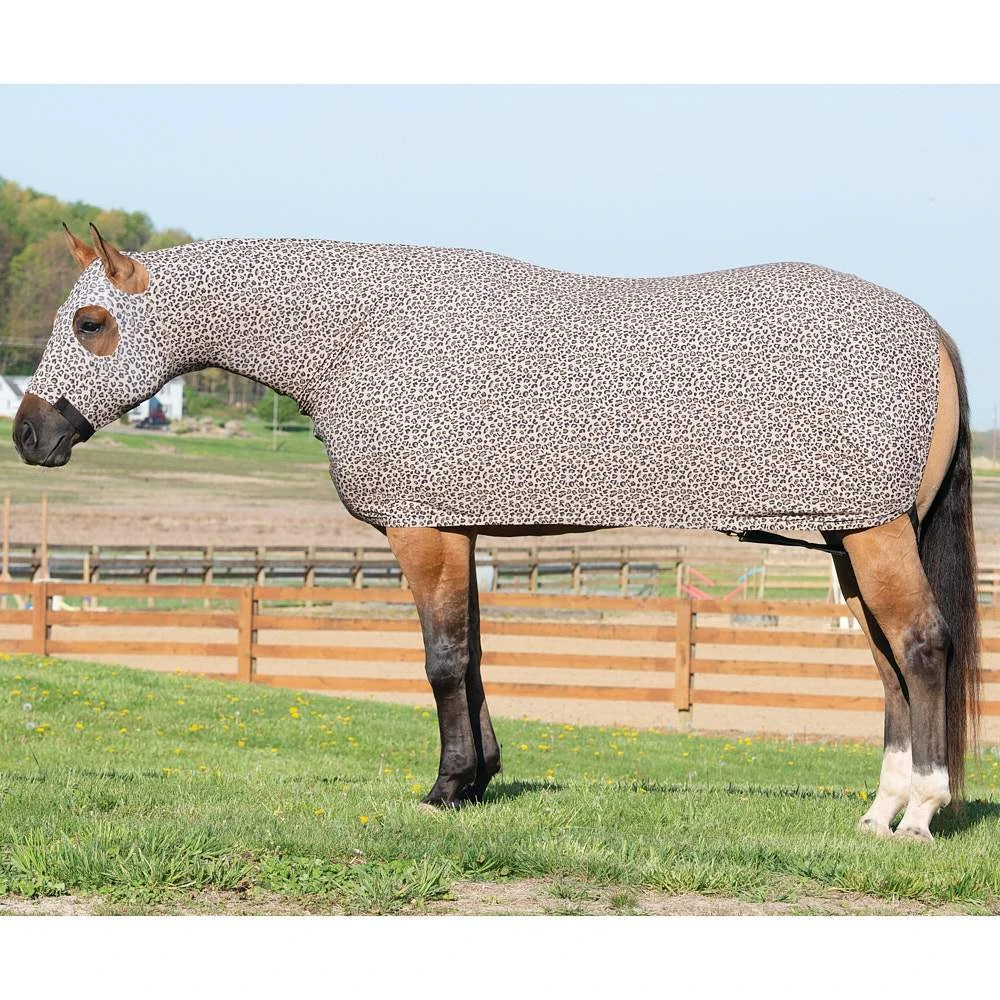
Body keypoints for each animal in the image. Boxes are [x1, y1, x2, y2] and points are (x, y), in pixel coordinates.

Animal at [12, 223, 979, 842]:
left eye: (91, 325)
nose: (29, 435)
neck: (362, 333)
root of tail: (928, 328)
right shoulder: (458, 530)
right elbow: (471, 656)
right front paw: (478, 779)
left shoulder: (421, 531)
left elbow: (442, 660)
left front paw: (445, 790)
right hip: (848, 539)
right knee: (887, 662)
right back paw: (878, 812)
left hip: (875, 536)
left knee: (923, 648)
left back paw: (921, 813)